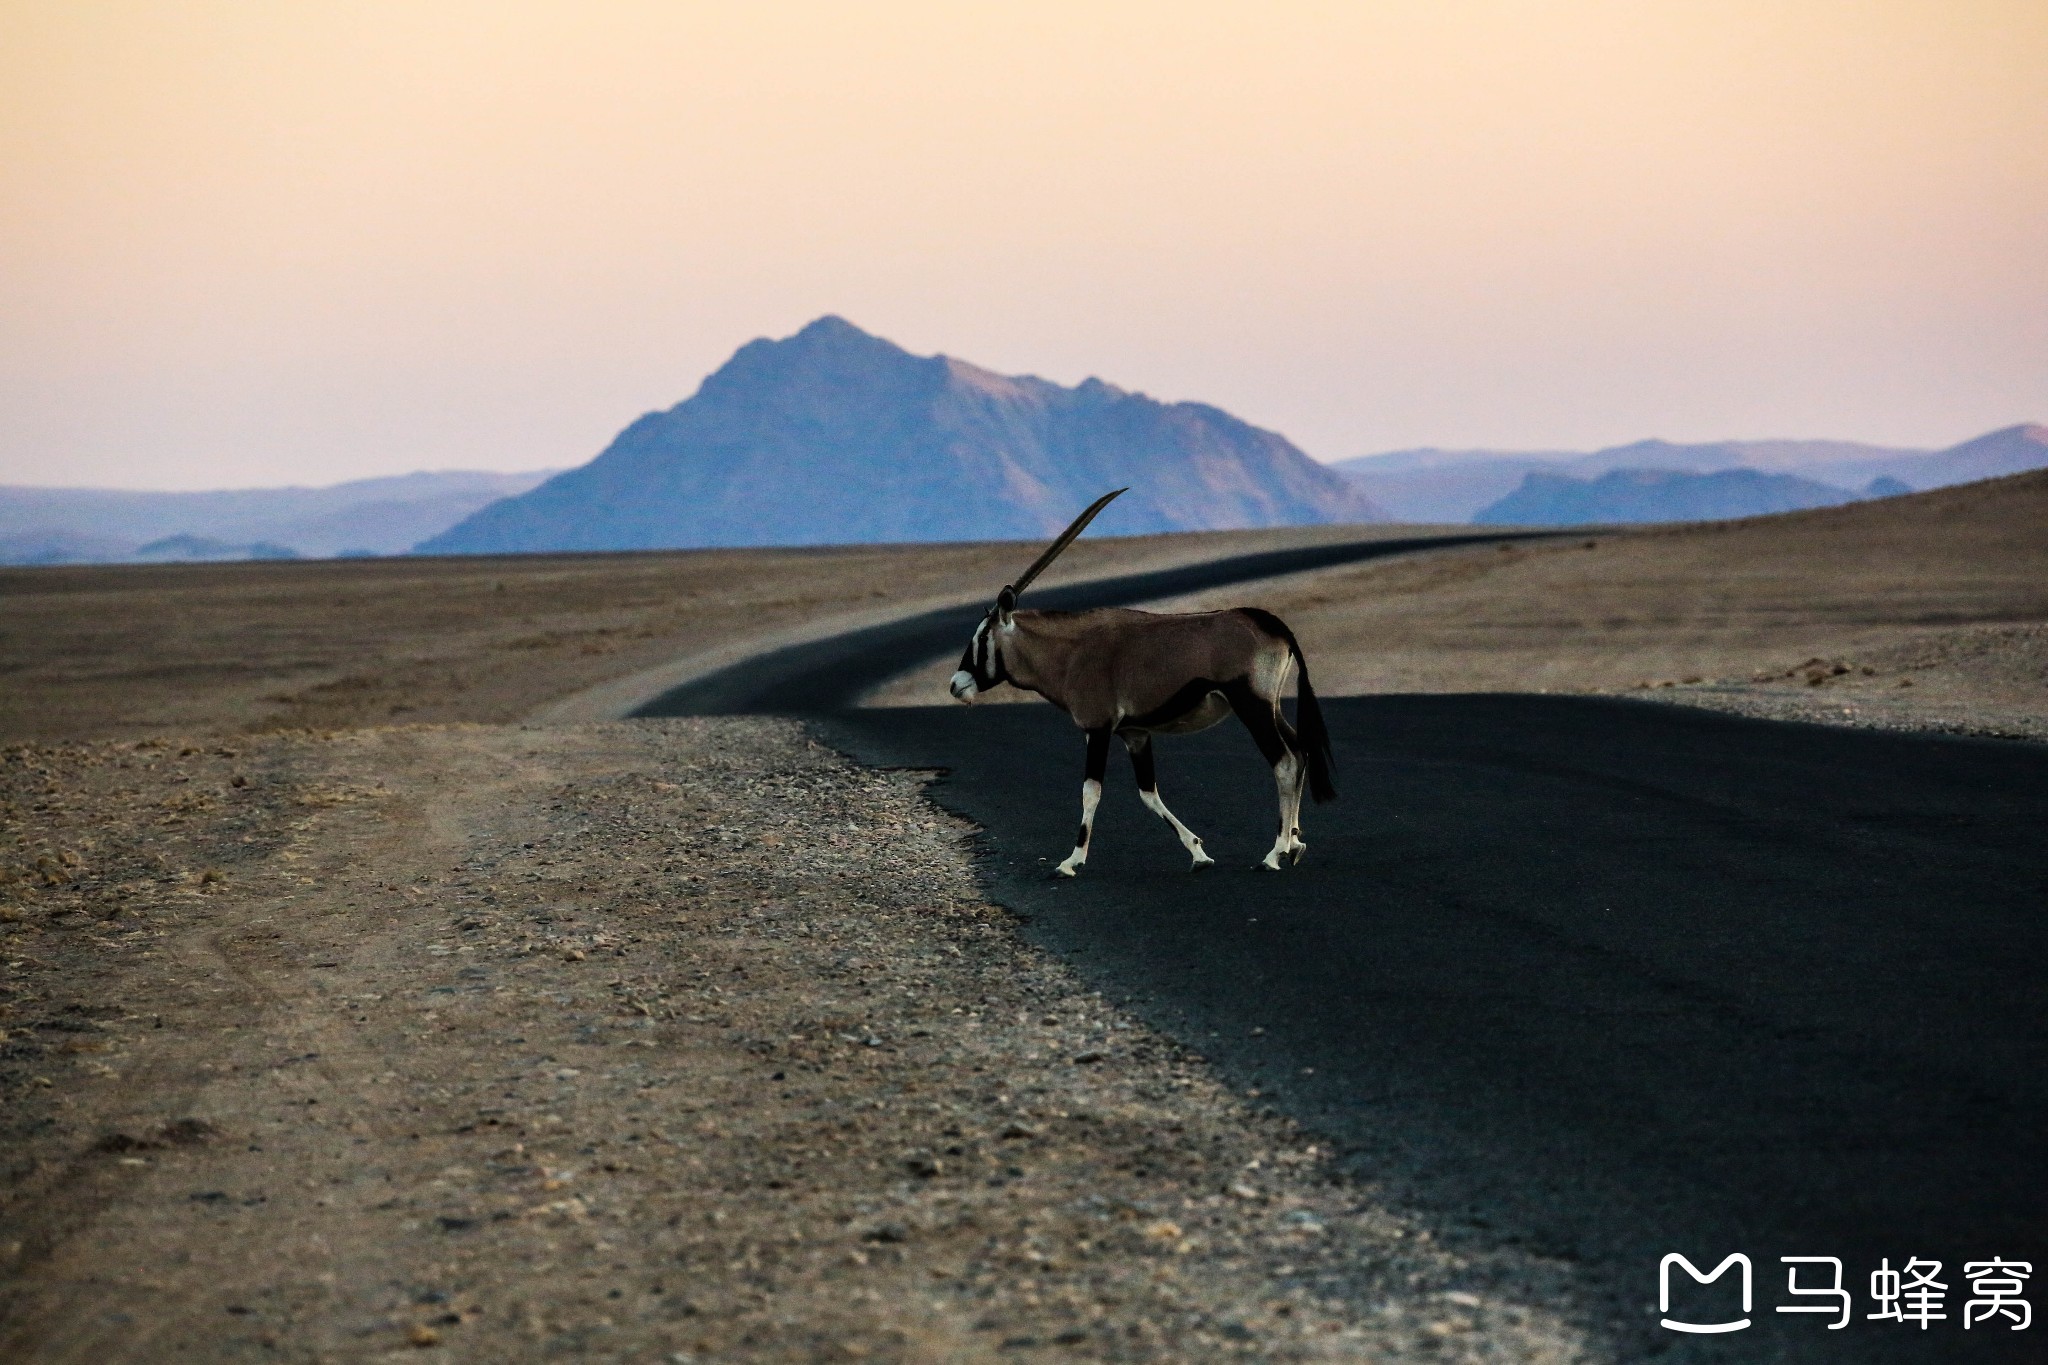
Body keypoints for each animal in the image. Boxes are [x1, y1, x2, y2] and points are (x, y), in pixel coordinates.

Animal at [950, 491, 1335, 875]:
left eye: (981, 637)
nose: (955, 685)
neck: (1070, 650)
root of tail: (1274, 625)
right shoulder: (1135, 734)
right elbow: (1149, 793)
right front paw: (1198, 853)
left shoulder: (1098, 728)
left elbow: (1091, 791)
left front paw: (1071, 861)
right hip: (1270, 707)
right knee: (1299, 750)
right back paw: (1294, 844)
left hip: (1251, 706)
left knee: (1284, 762)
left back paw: (1274, 853)